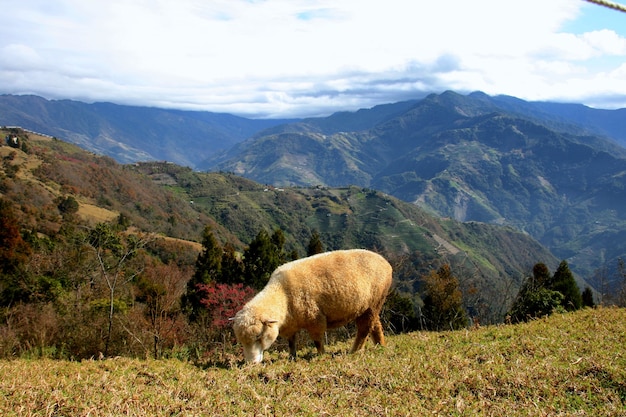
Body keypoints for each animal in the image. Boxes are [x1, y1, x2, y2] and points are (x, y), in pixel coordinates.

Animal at [232, 249, 392, 362]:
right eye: (241, 341)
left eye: (258, 336)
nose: (251, 363)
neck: (282, 293)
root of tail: (386, 263)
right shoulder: (290, 324)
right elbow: (291, 342)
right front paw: (292, 357)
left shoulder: (315, 318)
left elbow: (317, 340)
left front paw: (321, 355)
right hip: (369, 306)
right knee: (375, 325)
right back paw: (380, 345)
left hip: (373, 302)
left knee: (364, 329)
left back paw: (355, 350)